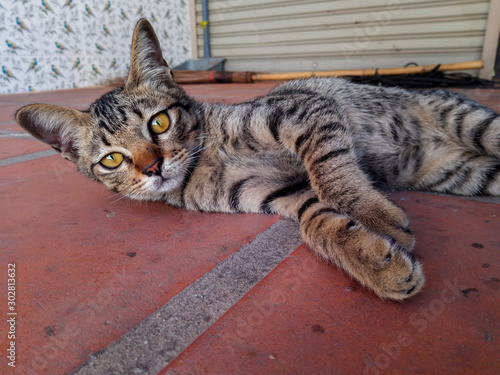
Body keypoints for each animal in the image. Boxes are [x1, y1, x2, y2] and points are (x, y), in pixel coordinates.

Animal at [15, 19, 500, 302]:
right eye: (112, 159)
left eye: (158, 123)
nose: (153, 168)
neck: (205, 161)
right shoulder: (278, 193)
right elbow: (318, 220)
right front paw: (374, 261)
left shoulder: (303, 111)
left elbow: (332, 174)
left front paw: (377, 216)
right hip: (468, 174)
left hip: (471, 121)